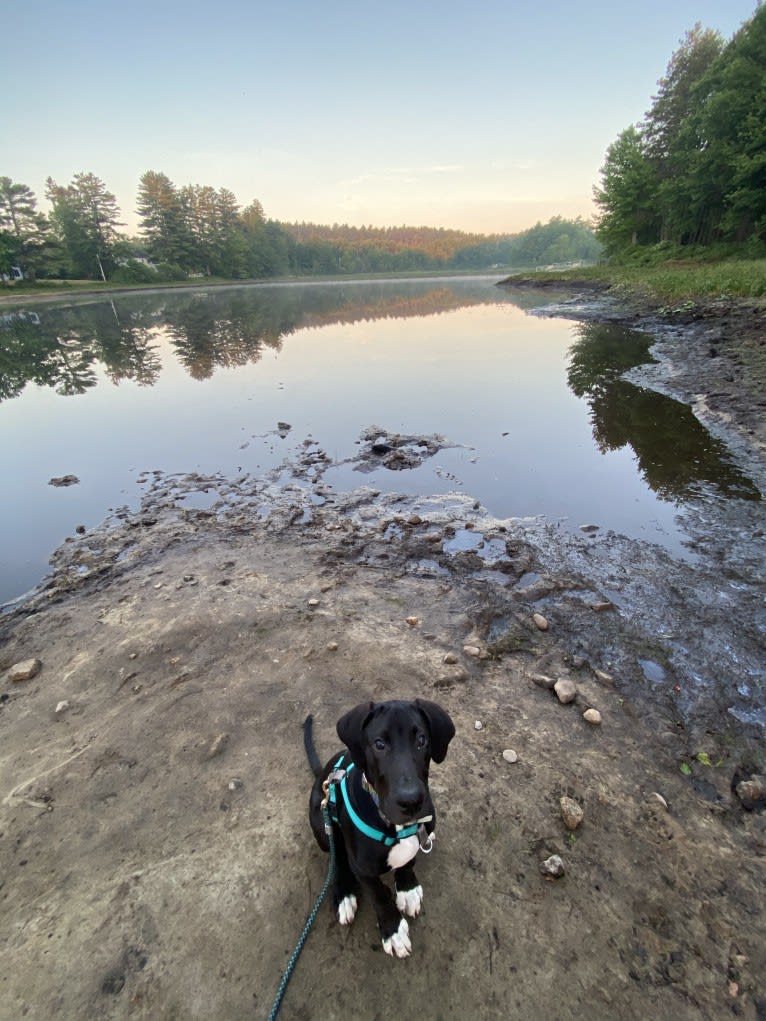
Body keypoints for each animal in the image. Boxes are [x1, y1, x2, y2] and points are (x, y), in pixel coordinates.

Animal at [304, 702, 455, 955]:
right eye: (379, 744)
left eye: (422, 740)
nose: (411, 801)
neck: (397, 826)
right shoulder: (363, 868)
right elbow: (378, 897)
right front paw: (393, 930)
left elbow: (408, 862)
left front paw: (407, 888)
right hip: (320, 821)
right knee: (337, 858)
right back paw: (344, 893)